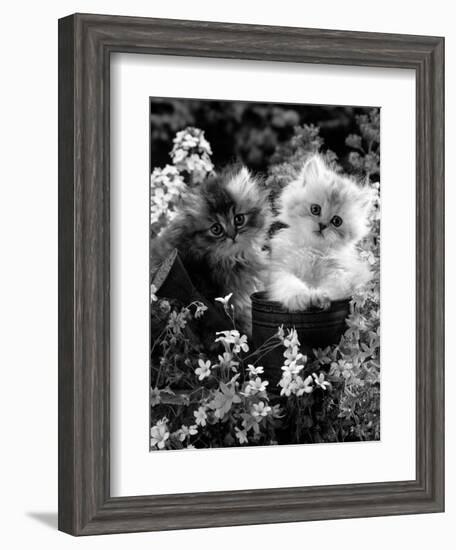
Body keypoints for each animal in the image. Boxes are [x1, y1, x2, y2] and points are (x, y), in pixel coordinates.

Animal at [268, 153, 374, 312]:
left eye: (336, 221)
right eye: (315, 209)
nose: (322, 225)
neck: (313, 250)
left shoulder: (343, 275)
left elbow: (332, 288)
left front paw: (319, 296)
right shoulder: (280, 270)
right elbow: (290, 284)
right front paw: (301, 297)